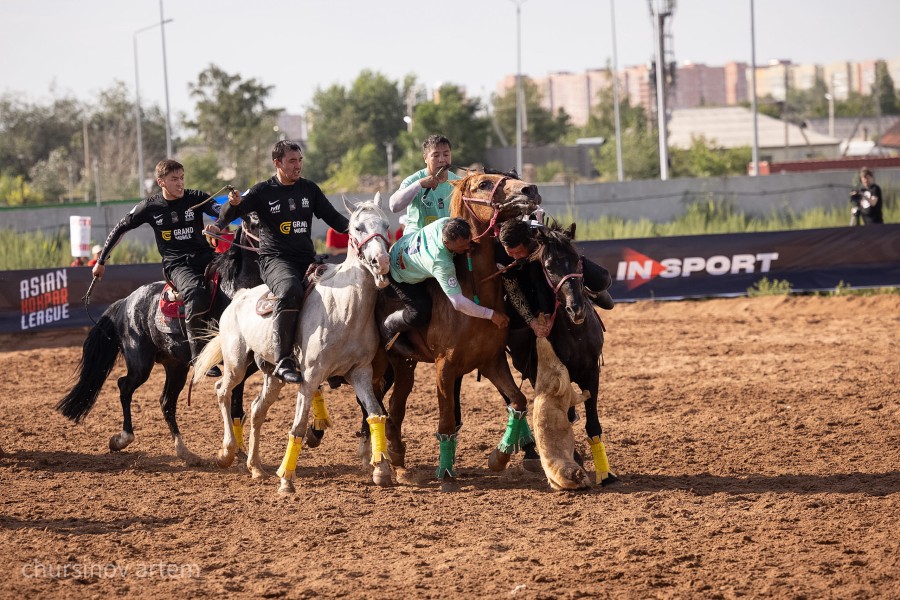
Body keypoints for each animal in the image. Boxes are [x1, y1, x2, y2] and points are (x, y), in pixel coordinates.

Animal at [56, 218, 262, 466]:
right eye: (256, 223)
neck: (233, 291)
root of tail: (125, 302)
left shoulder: (246, 365)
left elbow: (237, 407)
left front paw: (239, 452)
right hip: (141, 365)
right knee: (125, 386)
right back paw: (122, 438)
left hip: (176, 367)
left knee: (166, 402)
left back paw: (184, 451)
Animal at [195, 196, 392, 492]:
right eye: (357, 227)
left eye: (386, 225)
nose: (381, 261)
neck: (345, 309)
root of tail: (239, 296)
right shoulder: (310, 377)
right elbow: (298, 426)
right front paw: (286, 479)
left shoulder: (361, 374)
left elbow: (375, 414)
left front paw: (381, 469)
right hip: (237, 363)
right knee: (223, 391)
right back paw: (227, 452)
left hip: (272, 375)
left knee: (257, 410)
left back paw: (256, 467)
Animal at [374, 171, 540, 490]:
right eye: (484, 184)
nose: (531, 189)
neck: (474, 289)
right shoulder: (445, 367)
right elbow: (447, 422)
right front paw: (447, 475)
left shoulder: (492, 362)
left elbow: (519, 400)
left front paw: (499, 457)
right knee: (374, 407)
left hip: (404, 366)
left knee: (394, 411)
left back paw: (398, 462)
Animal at [502, 223, 616, 486]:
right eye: (549, 266)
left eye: (577, 259)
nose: (576, 309)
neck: (575, 333)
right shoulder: (545, 375)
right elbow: (566, 414)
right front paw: (574, 458)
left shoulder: (592, 372)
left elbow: (593, 424)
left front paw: (604, 473)